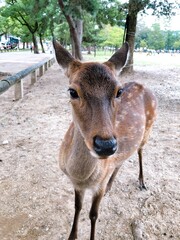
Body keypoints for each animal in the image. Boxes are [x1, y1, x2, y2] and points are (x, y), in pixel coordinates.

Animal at [52, 39, 157, 240]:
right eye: (72, 91)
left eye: (119, 91)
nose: (106, 145)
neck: (82, 176)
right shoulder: (76, 184)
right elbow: (77, 206)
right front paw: (72, 235)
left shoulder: (98, 185)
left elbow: (93, 214)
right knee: (121, 161)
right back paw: (111, 185)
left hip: (148, 130)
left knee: (140, 151)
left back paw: (141, 181)